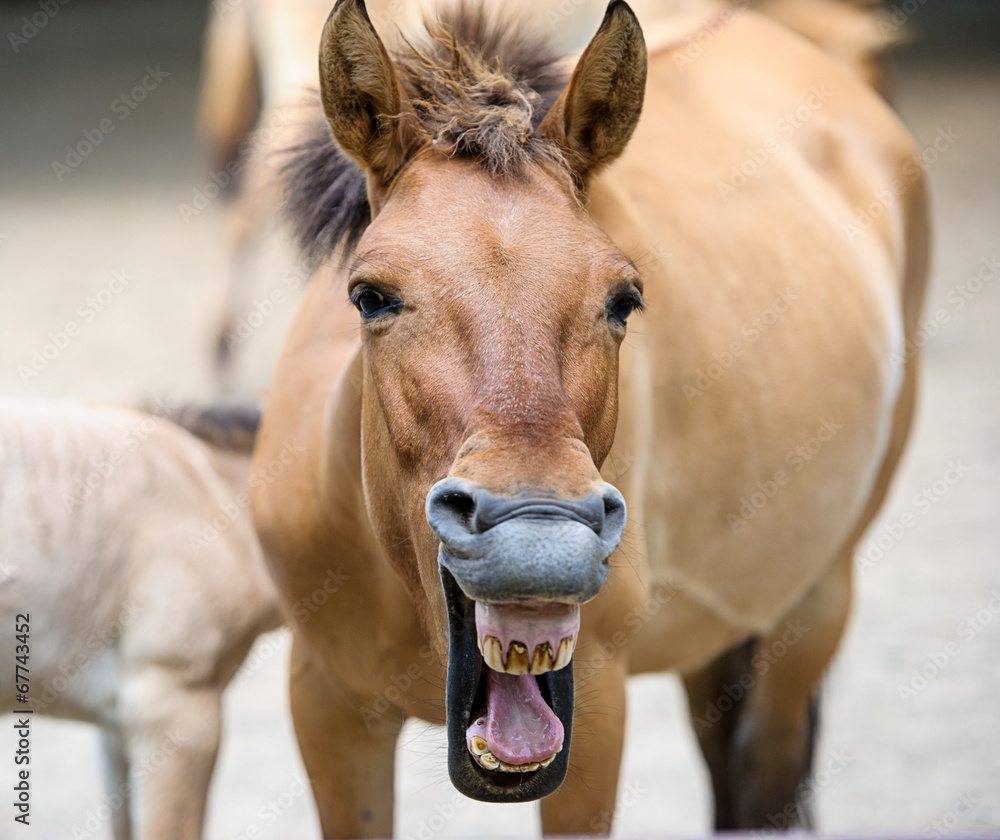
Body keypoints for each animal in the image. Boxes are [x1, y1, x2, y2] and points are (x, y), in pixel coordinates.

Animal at [250, 0, 929, 833]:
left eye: (623, 300)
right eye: (371, 295)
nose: (535, 536)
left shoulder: (596, 710)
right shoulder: (325, 703)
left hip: (815, 599)